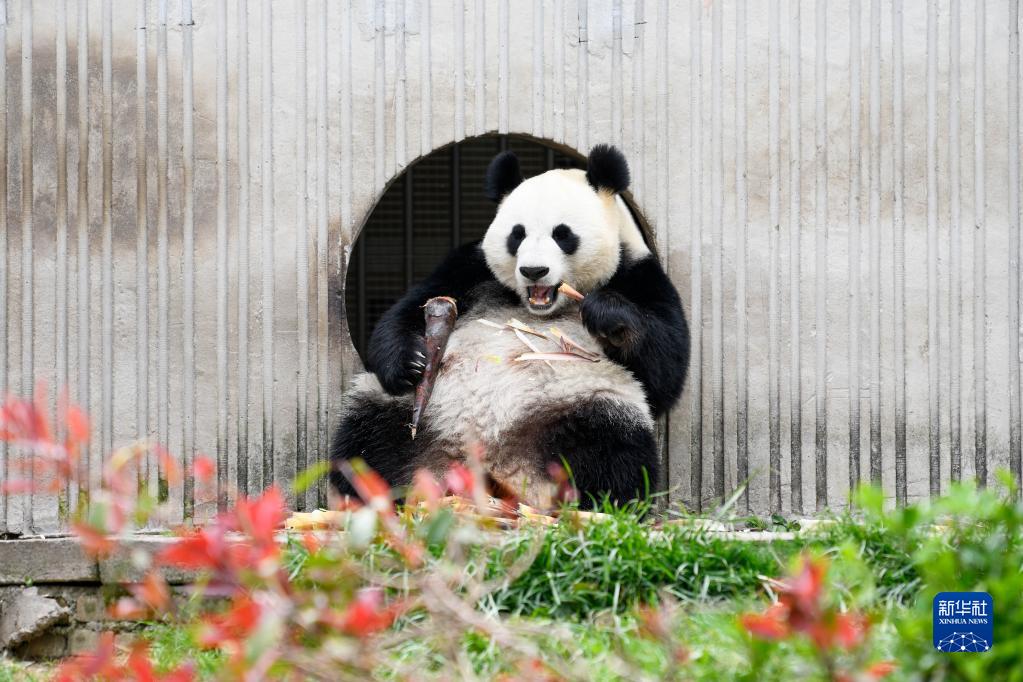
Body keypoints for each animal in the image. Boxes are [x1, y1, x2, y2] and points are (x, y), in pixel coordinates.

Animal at [331, 144, 691, 507]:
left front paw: (605, 312)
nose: (534, 271)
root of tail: (490, 465)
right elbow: (407, 310)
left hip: (584, 402)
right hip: (413, 413)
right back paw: (369, 494)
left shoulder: (639, 275)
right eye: (517, 235)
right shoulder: (470, 268)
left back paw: (596, 502)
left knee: (613, 450)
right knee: (367, 440)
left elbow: (664, 369)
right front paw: (410, 362)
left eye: (563, 234)